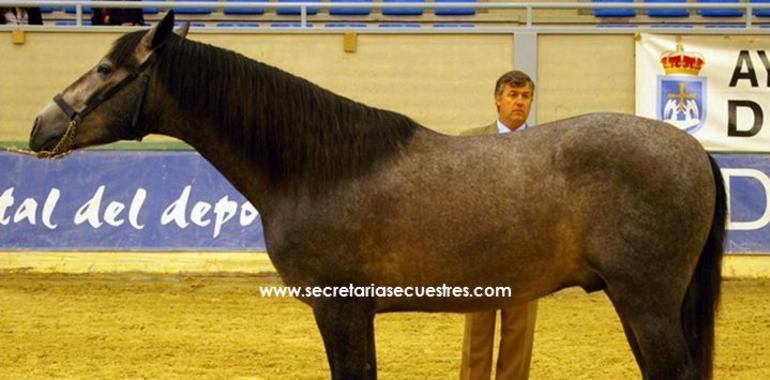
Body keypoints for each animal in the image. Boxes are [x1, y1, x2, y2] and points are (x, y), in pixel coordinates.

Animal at [30, 11, 724, 380]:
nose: (40, 125)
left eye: (106, 69)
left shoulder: (340, 310)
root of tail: (693, 150)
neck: (320, 169)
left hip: (646, 304)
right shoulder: (353, 313)